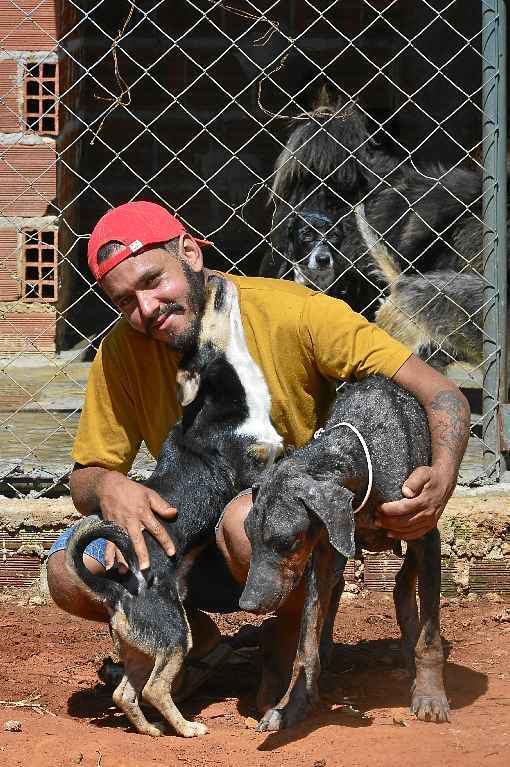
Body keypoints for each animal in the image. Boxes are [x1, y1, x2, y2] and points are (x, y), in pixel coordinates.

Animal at [63, 276, 282, 736]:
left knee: (124, 693)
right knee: (153, 689)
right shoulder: (253, 469)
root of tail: (117, 590)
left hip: (142, 648)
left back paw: (150, 730)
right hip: (175, 637)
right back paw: (187, 729)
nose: (215, 277)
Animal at [239, 376, 446, 732]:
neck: (361, 452)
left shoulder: (428, 535)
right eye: (249, 537)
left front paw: (431, 695)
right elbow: (305, 644)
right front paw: (292, 703)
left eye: (285, 543)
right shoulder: (322, 551)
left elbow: (430, 637)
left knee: (404, 582)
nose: (246, 604)